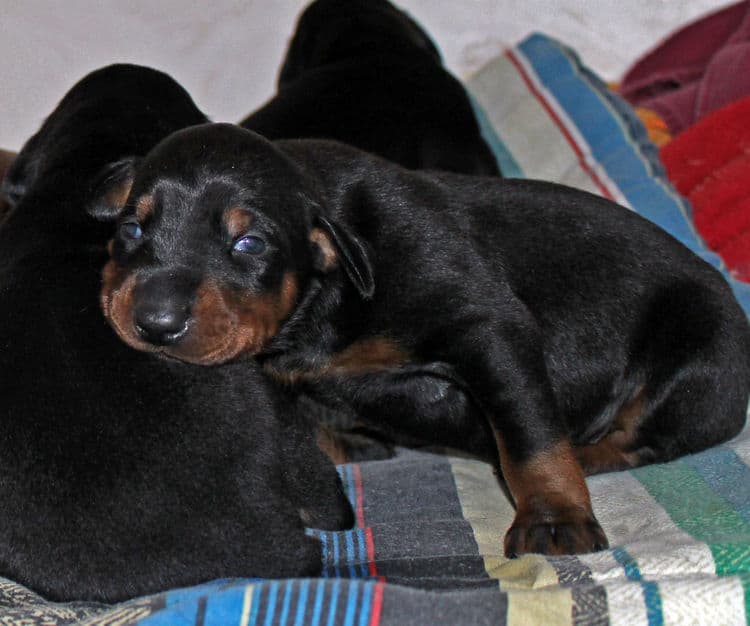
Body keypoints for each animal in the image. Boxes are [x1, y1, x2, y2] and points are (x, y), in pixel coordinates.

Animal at [89, 123, 750, 556]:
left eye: (249, 244)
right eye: (131, 230)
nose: (154, 322)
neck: (329, 292)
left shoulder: (488, 327)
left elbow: (530, 434)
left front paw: (553, 517)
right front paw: (348, 443)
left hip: (697, 358)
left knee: (644, 439)